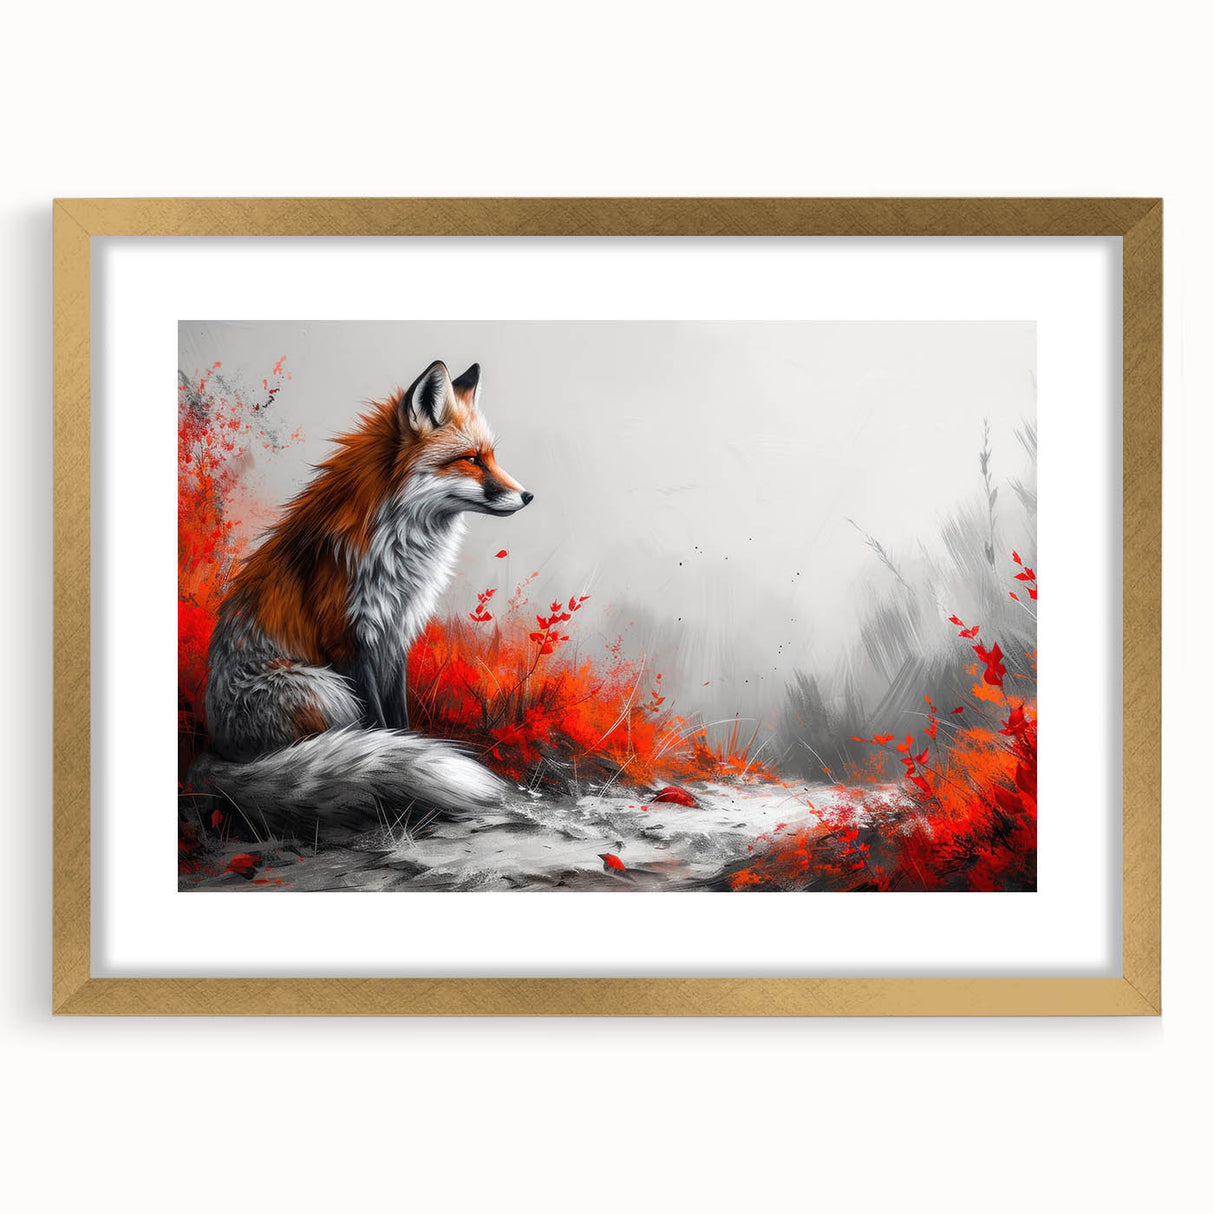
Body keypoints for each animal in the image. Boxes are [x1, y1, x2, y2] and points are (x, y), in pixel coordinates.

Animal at [191, 360, 532, 831]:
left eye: (491, 457)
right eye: (471, 460)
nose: (528, 495)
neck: (400, 550)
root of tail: (215, 752)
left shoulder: (396, 632)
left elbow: (399, 721)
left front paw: (414, 753)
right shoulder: (349, 638)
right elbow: (378, 723)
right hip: (325, 688)